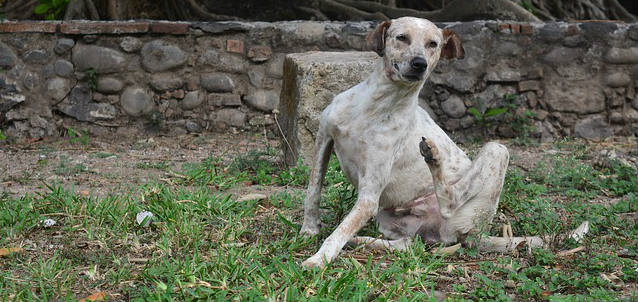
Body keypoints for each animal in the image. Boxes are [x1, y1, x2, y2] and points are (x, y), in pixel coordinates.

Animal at [300, 16, 592, 268]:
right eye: (402, 38)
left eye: (434, 44)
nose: (419, 63)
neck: (376, 105)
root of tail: (477, 234)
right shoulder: (324, 139)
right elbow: (313, 191)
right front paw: (308, 230)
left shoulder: (370, 196)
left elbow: (340, 230)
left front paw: (320, 259)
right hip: (389, 219)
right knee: (408, 245)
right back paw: (363, 242)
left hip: (496, 150)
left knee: (450, 201)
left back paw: (433, 157)